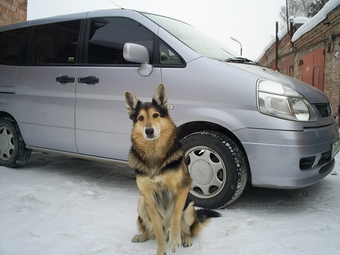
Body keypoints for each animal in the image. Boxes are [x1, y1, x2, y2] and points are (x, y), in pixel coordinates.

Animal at [125, 84, 220, 255]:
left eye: (156, 115)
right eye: (140, 118)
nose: (149, 131)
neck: (154, 154)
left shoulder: (184, 186)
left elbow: (176, 214)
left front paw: (175, 239)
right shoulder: (148, 197)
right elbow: (157, 230)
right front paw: (161, 250)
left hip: (190, 208)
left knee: (187, 229)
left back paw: (185, 239)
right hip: (141, 202)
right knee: (152, 231)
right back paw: (143, 235)